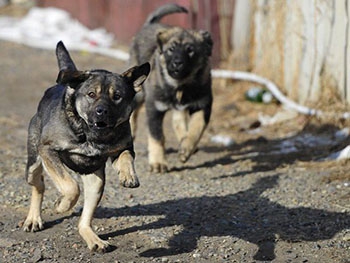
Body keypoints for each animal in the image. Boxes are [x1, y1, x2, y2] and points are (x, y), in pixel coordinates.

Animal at [22, 40, 150, 253]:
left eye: (117, 96)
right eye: (91, 94)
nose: (101, 111)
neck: (90, 135)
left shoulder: (122, 148)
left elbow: (125, 156)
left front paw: (129, 176)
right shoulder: (48, 150)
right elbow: (71, 186)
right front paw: (61, 204)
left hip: (96, 182)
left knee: (84, 221)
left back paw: (94, 240)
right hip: (33, 163)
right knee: (38, 185)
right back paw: (34, 218)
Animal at [130, 4, 213, 174]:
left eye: (190, 50)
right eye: (171, 49)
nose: (177, 63)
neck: (180, 85)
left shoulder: (203, 104)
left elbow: (197, 127)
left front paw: (186, 148)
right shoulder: (154, 108)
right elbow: (156, 136)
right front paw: (158, 162)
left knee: (178, 119)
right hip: (140, 93)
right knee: (133, 111)